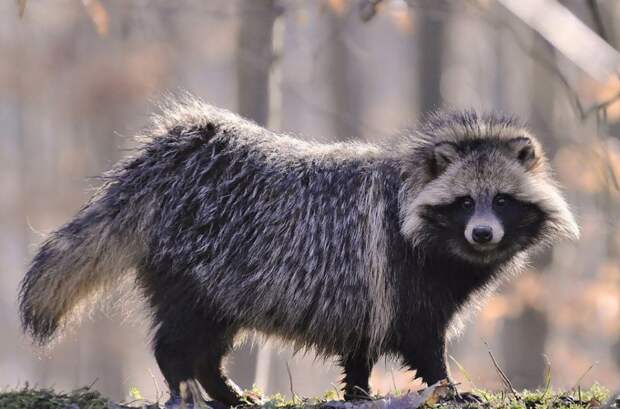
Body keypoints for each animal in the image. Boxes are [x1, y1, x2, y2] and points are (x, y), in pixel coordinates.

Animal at [20, 96, 580, 404]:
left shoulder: (367, 287)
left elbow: (361, 345)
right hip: (197, 265)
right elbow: (422, 340)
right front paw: (446, 387)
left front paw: (358, 391)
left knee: (208, 345)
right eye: (465, 202)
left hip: (221, 283)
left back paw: (221, 388)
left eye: (502, 200)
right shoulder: (401, 273)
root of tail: (169, 159)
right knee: (179, 339)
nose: (482, 235)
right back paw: (187, 384)